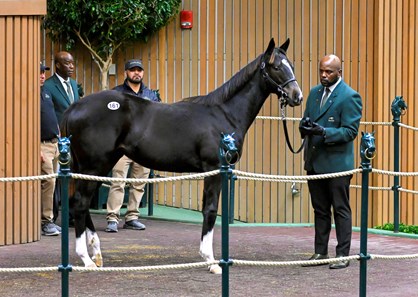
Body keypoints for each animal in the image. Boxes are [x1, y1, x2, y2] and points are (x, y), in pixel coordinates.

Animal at [61, 37, 304, 272]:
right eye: (275, 67)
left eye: (291, 65)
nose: (297, 96)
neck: (223, 114)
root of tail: (73, 108)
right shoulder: (214, 169)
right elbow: (210, 210)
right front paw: (211, 261)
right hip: (95, 165)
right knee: (80, 203)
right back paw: (87, 260)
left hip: (93, 167)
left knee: (82, 203)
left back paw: (96, 254)